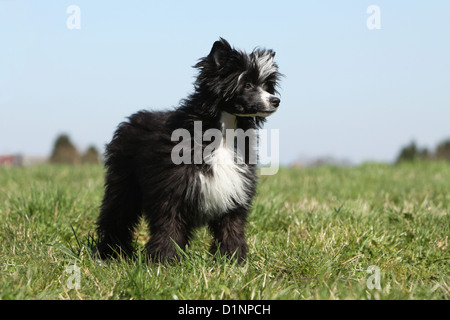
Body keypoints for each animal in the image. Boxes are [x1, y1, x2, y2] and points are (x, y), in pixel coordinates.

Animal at [96, 38, 282, 262]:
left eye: (266, 85)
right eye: (247, 84)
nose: (275, 100)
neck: (223, 134)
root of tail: (131, 121)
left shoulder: (234, 192)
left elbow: (231, 228)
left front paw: (232, 260)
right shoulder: (172, 191)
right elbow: (169, 226)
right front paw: (164, 260)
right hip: (123, 184)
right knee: (116, 216)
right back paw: (110, 253)